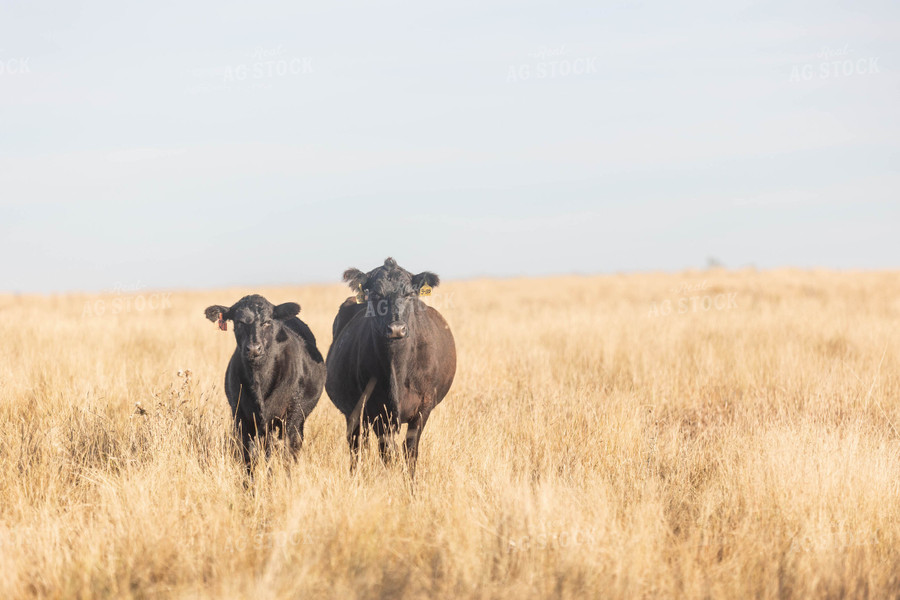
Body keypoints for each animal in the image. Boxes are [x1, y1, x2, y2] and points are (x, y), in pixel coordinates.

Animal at [205, 292, 326, 466]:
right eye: (239, 322)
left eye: (267, 322)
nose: (254, 349)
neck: (259, 380)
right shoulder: (241, 416)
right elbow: (248, 455)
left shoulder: (291, 414)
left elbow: (284, 451)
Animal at [326, 258, 458, 478]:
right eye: (375, 295)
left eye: (410, 294)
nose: (396, 329)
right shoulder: (377, 410)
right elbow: (387, 452)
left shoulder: (423, 406)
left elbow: (409, 450)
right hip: (354, 413)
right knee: (357, 445)